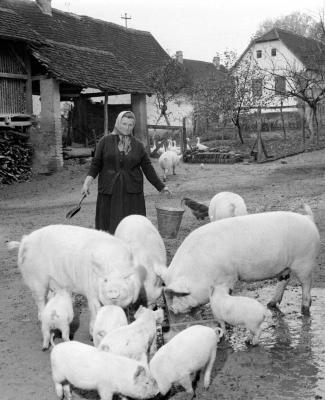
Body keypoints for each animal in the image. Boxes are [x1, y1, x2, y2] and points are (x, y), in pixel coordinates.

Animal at [7, 225, 140, 334]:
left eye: (125, 277)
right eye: (105, 280)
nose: (114, 290)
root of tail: (24, 240)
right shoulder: (90, 290)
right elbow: (95, 308)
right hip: (36, 279)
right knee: (39, 299)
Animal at [156, 206, 318, 316]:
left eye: (180, 294)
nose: (173, 309)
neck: (200, 268)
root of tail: (308, 219)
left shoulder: (228, 276)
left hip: (305, 260)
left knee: (306, 283)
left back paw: (304, 310)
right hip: (286, 266)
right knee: (284, 279)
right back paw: (270, 304)